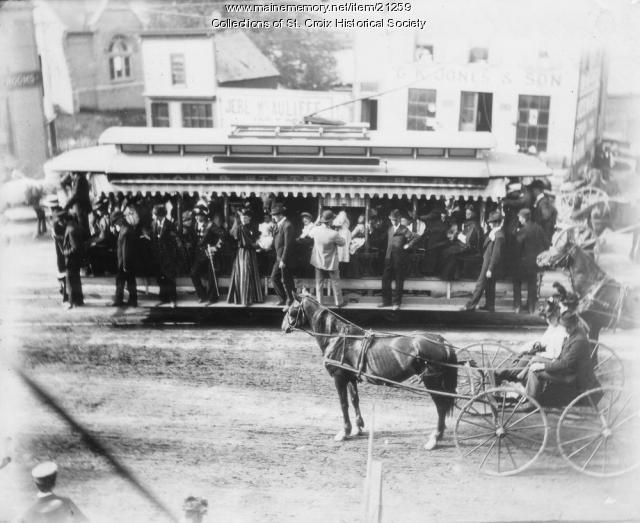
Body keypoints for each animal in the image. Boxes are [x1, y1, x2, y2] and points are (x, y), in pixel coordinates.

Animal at [282, 294, 458, 450]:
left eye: (291, 309)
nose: (283, 327)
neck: (338, 337)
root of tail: (442, 340)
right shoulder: (350, 377)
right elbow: (355, 400)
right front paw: (358, 428)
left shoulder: (339, 378)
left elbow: (343, 404)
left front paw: (344, 431)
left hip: (432, 381)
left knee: (441, 407)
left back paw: (435, 438)